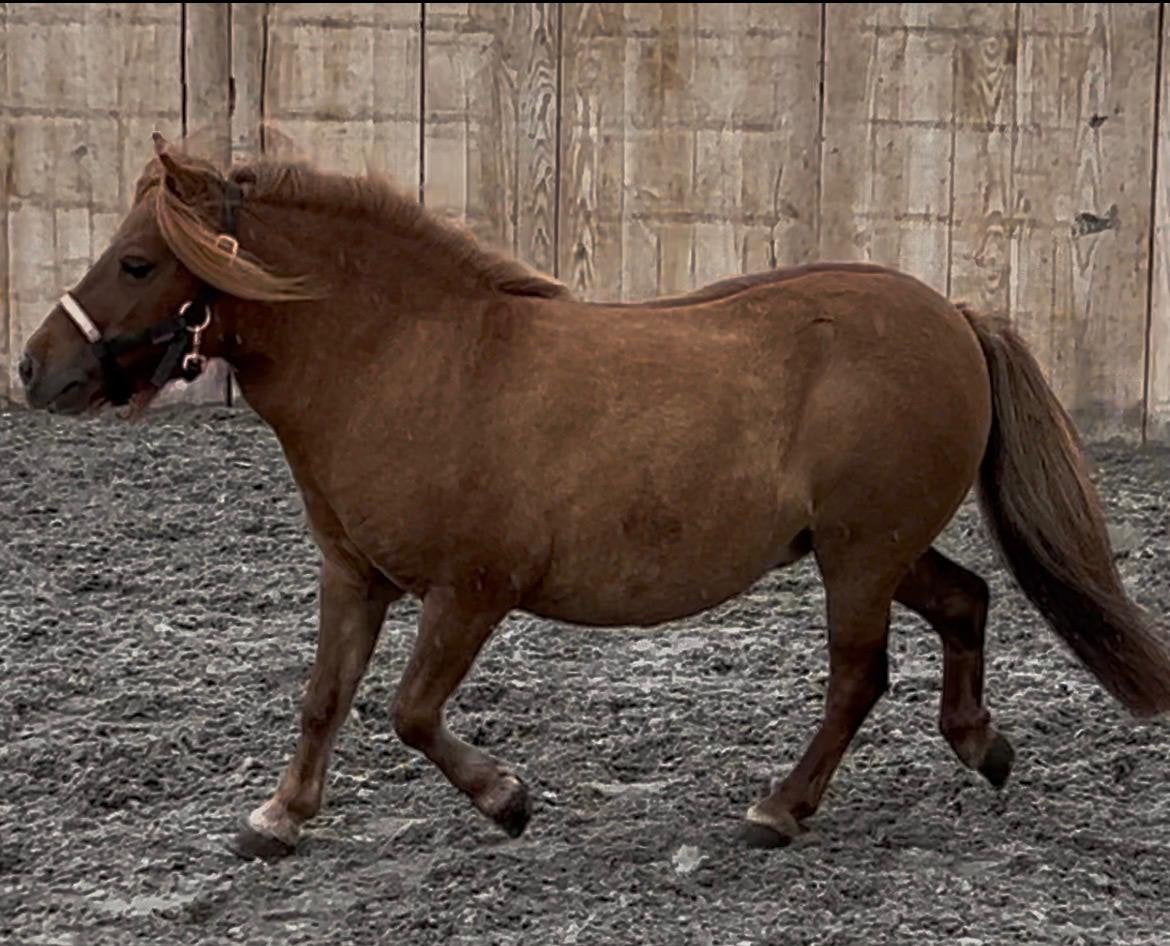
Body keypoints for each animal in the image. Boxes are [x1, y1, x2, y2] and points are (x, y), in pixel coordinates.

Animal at [19, 134, 1170, 857]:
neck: (411, 361)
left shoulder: (472, 591)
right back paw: (984, 747)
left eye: (136, 261)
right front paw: (280, 817)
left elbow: (409, 710)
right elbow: (324, 699)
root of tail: (953, 314)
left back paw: (779, 808)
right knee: (967, 602)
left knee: (858, 678)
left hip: (859, 556)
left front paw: (507, 800)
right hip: (872, 548)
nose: (35, 372)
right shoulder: (355, 576)